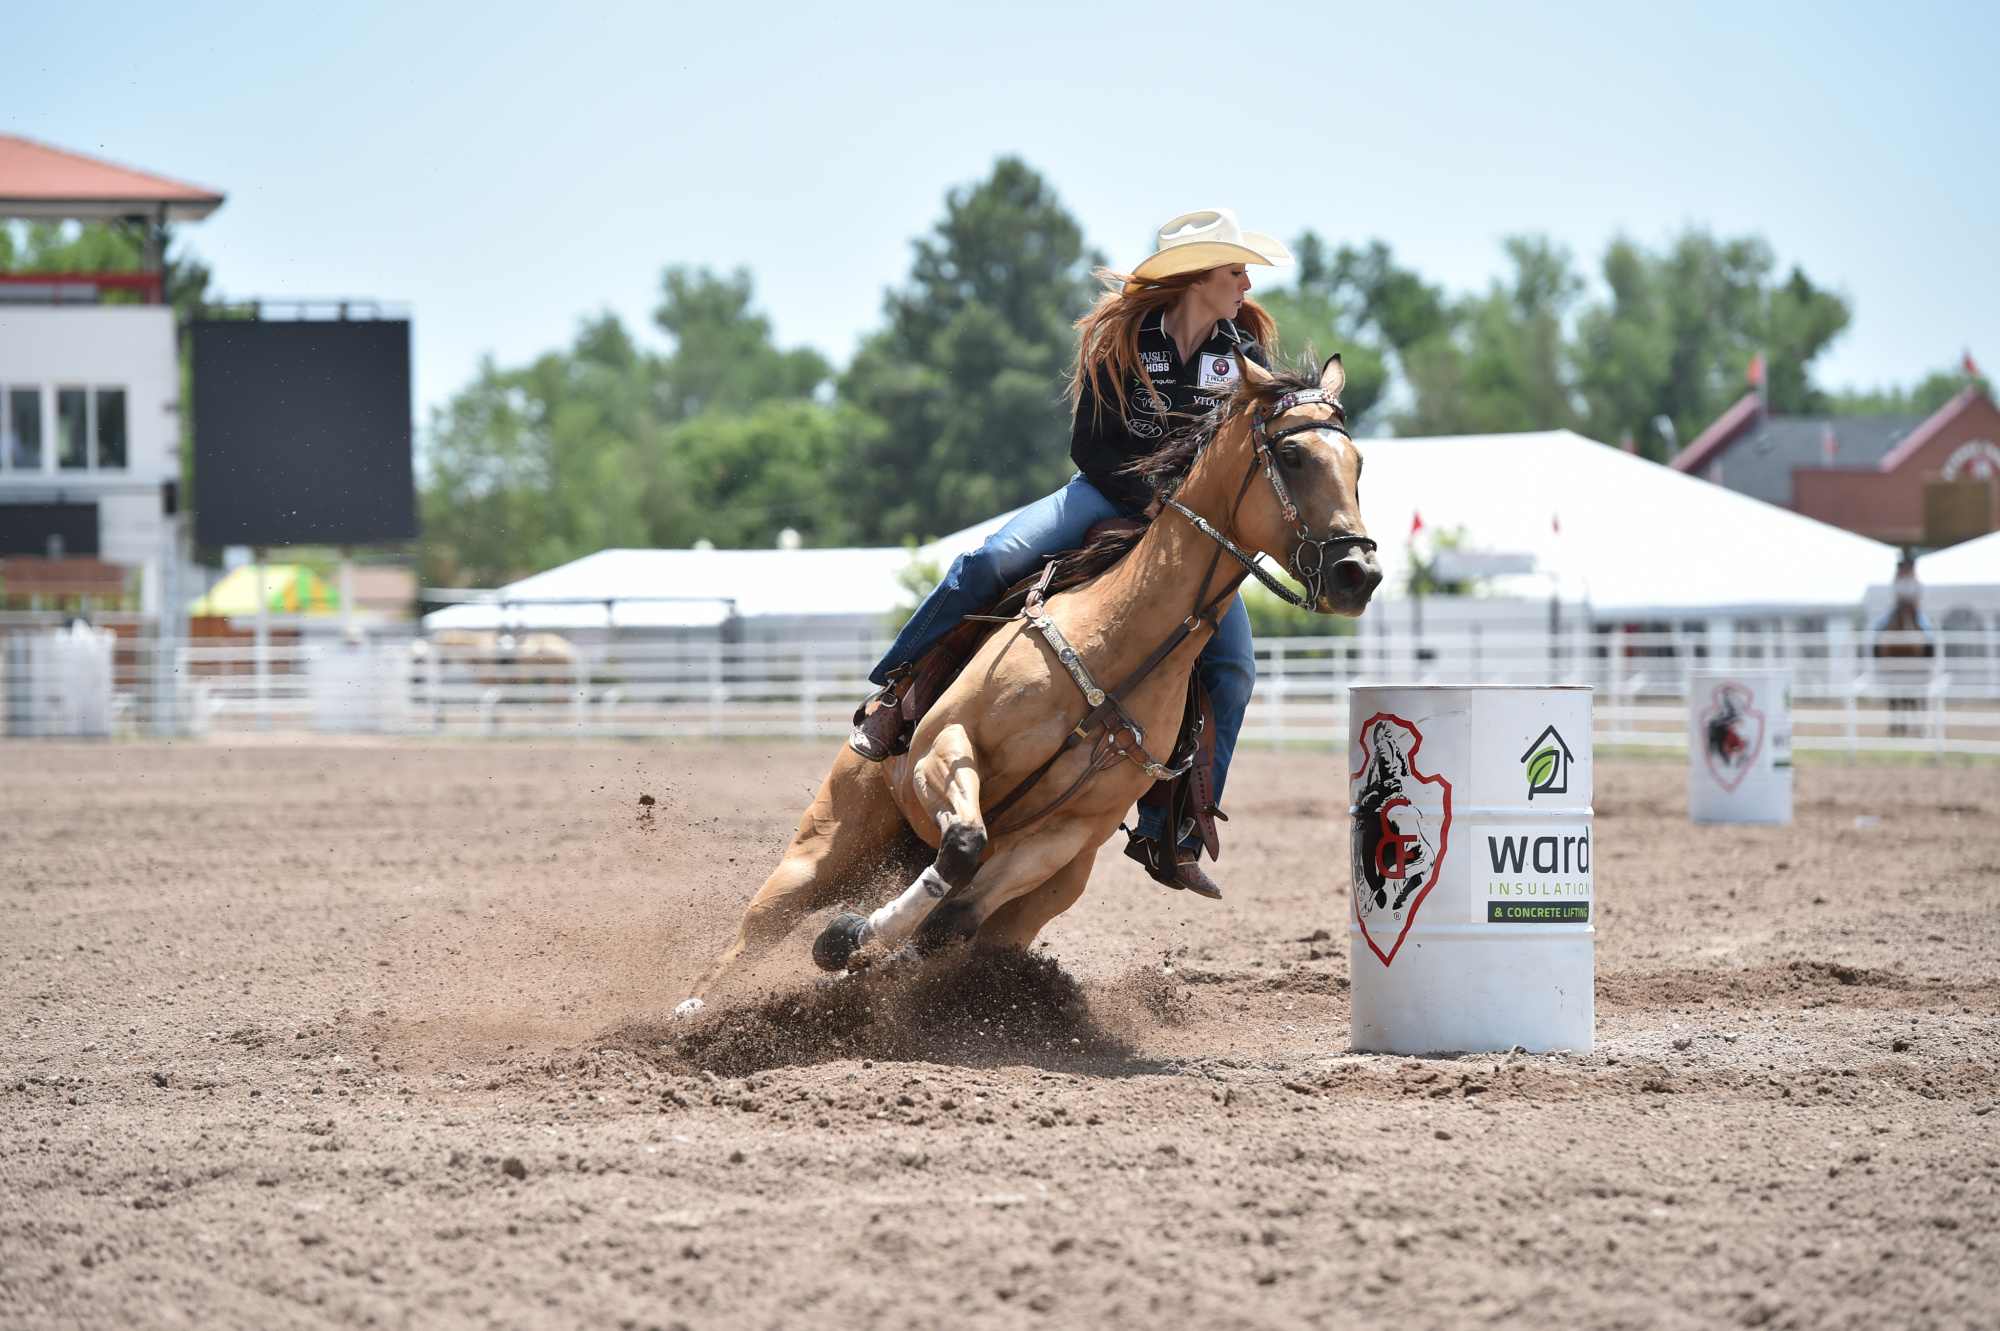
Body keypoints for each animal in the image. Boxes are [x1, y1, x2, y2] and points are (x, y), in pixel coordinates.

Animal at [672, 349, 1376, 1007]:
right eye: (1292, 455)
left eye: (1359, 463)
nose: (1357, 574)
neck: (1112, 651)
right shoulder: (944, 746)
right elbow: (961, 843)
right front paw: (845, 941)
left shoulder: (1067, 835)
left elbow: (950, 920)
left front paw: (851, 946)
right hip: (824, 844)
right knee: (752, 934)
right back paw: (686, 1015)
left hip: (1044, 893)